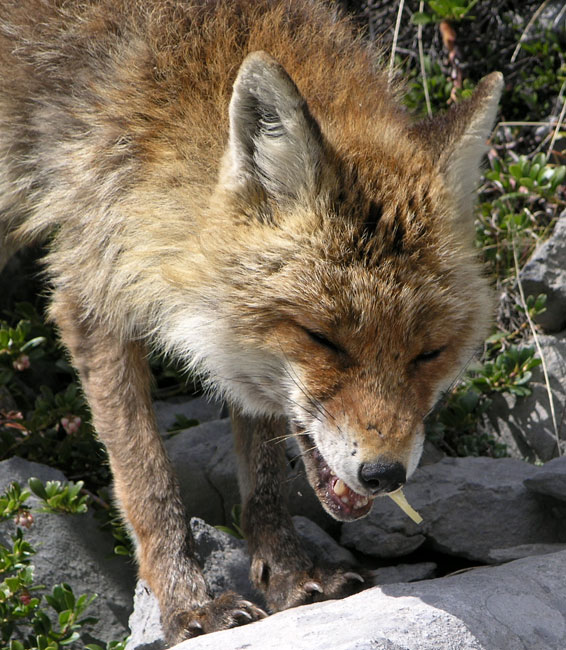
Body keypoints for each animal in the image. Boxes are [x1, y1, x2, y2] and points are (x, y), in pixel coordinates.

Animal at [1, 0, 506, 640]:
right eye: (323, 339)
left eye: (429, 353)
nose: (384, 474)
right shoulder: (90, 290)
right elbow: (147, 480)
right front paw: (187, 606)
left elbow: (264, 471)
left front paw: (289, 575)